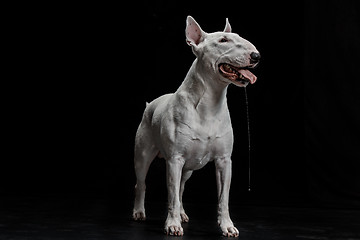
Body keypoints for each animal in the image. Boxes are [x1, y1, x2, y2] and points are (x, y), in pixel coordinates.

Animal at [132, 15, 258, 237]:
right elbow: (172, 195)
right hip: (143, 155)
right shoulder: (175, 160)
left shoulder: (224, 161)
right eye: (223, 40)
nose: (256, 56)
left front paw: (227, 226)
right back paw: (139, 212)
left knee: (181, 188)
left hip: (188, 168)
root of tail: (150, 105)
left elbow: (223, 198)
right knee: (142, 183)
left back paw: (182, 213)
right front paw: (172, 225)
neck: (209, 103)